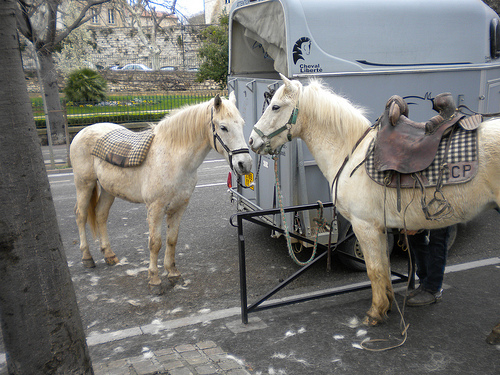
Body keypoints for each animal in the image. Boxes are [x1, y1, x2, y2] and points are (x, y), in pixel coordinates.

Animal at [70, 94, 252, 294]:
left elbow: (172, 240)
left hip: (108, 189)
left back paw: (109, 255)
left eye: (242, 124)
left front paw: (173, 274)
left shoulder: (179, 207)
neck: (173, 159)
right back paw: (87, 257)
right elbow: (155, 243)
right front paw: (154, 280)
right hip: (84, 184)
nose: (245, 164)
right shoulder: (155, 208)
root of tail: (85, 130)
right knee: (80, 215)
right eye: (223, 127)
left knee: (101, 215)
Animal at [249, 74, 500, 344]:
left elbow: (374, 269)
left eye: (276, 107)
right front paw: (388, 304)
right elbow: (384, 267)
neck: (350, 154)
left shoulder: (364, 226)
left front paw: (376, 312)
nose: (252, 140)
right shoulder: (379, 227)